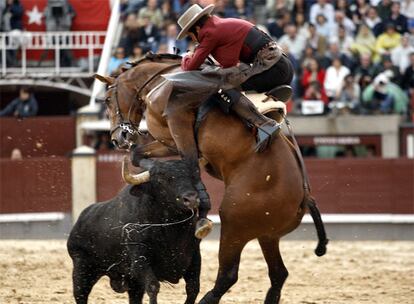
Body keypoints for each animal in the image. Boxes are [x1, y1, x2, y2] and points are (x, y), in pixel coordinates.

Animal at [67, 159, 202, 304]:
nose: (191, 199)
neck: (173, 231)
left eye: (192, 177)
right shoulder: (140, 261)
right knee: (80, 294)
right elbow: (153, 286)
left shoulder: (195, 257)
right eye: (161, 180)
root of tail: (80, 220)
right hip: (82, 268)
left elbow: (193, 288)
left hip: (132, 282)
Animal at [95, 54, 328, 304]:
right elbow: (138, 155)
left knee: (228, 274)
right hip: (268, 235)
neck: (161, 80)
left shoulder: (176, 133)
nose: (118, 138)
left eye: (107, 100)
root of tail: (304, 196)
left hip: (234, 228)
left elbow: (180, 162)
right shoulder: (167, 142)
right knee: (278, 274)